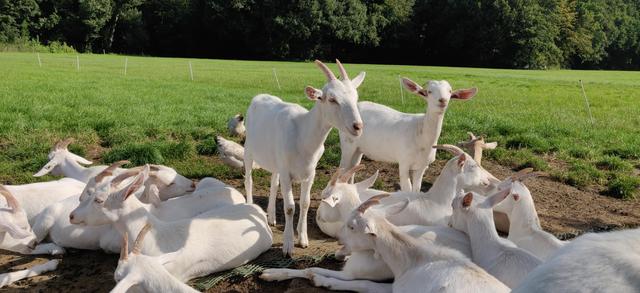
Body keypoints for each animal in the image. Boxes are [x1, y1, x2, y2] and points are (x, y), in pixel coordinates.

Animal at [244, 60, 364, 256]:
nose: (358, 126)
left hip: (276, 161)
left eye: (356, 98)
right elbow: (290, 207)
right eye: (332, 99)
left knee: (273, 182)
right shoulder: (287, 172)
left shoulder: (309, 172)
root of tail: (259, 96)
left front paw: (303, 239)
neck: (302, 133)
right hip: (249, 150)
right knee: (248, 179)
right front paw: (288, 246)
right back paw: (249, 205)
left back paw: (271, 217)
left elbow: (305, 203)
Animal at [340, 77, 476, 192]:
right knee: (343, 168)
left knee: (353, 167)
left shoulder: (422, 166)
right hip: (347, 143)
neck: (420, 135)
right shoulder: (404, 161)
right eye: (429, 91)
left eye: (450, 91)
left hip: (359, 148)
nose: (442, 100)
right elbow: (407, 189)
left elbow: (416, 189)